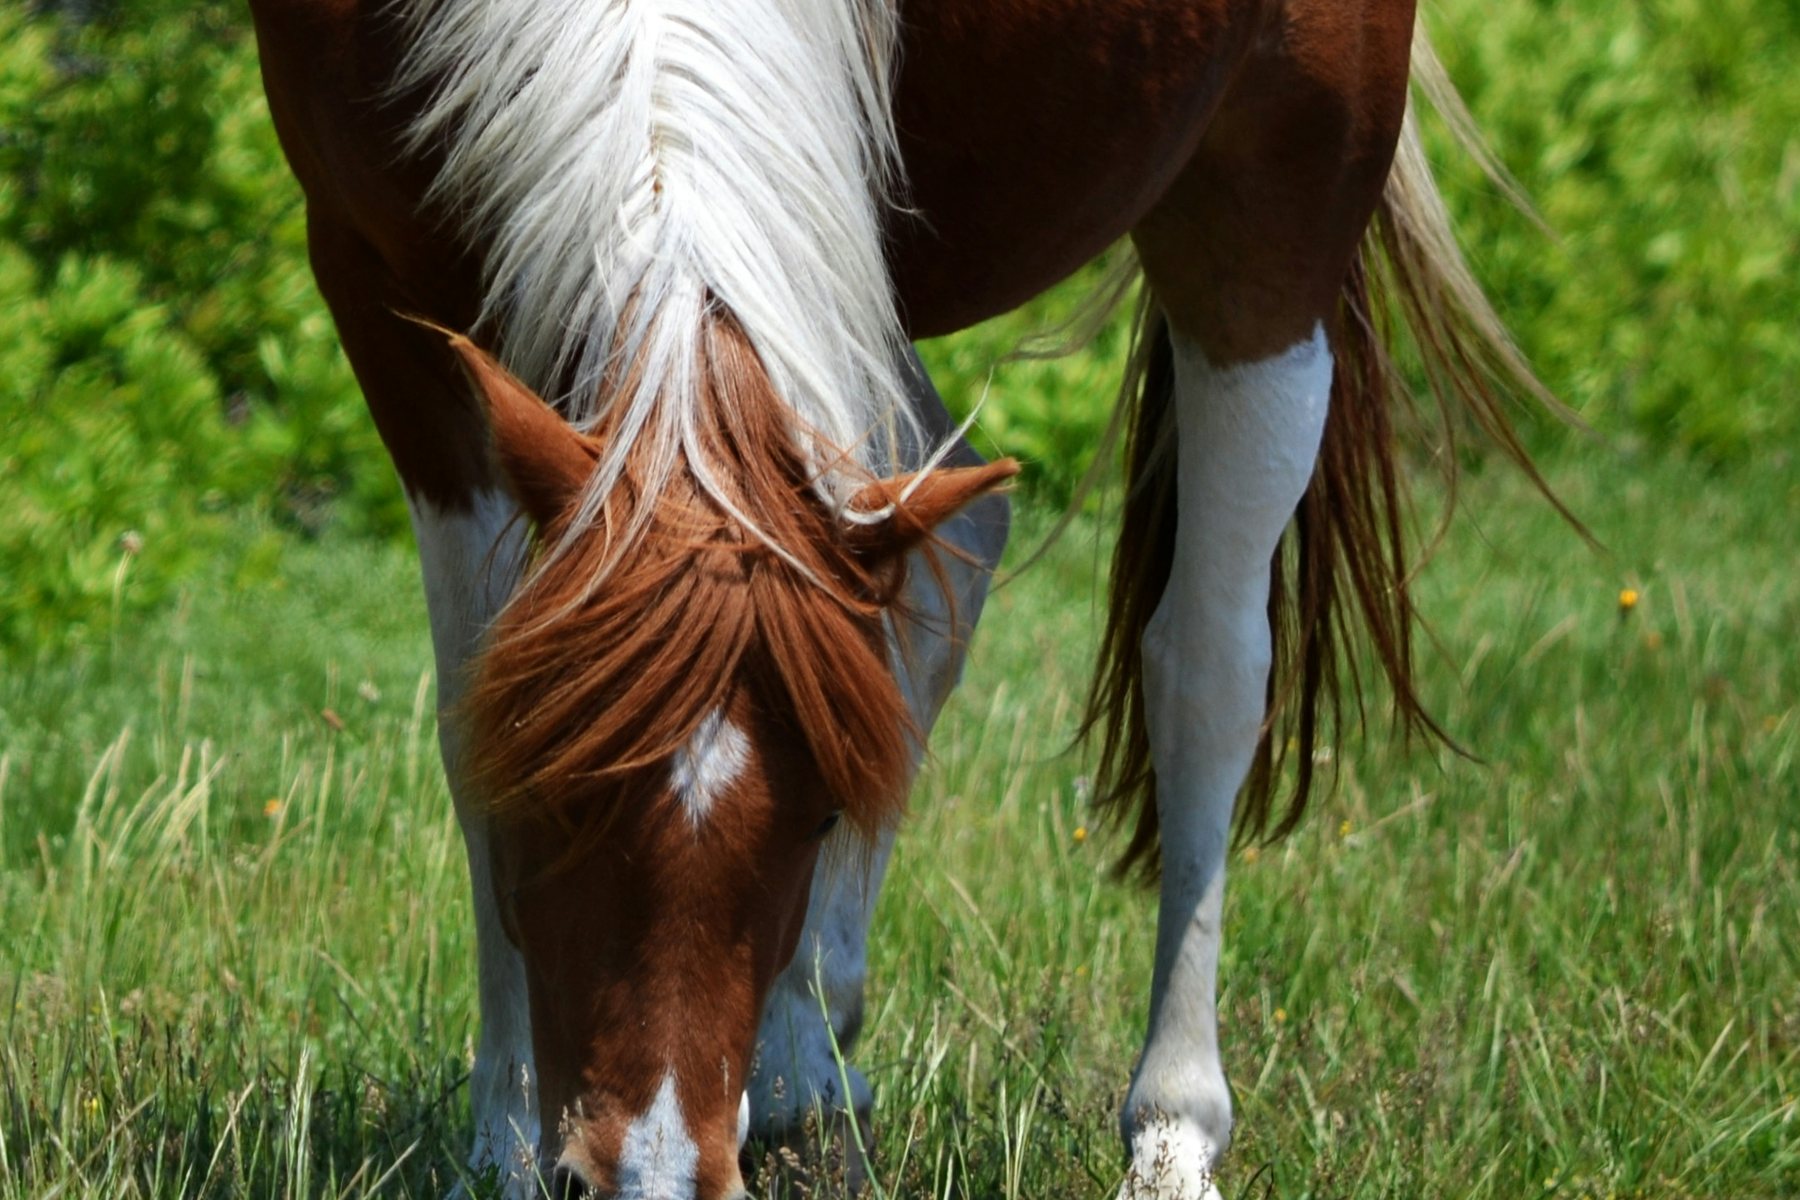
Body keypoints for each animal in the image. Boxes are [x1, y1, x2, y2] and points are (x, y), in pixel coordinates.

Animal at [245, 1, 1554, 1196]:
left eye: (824, 818)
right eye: (551, 796)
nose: (658, 1174)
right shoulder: (372, 282)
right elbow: (477, 707)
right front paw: (507, 1142)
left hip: (1277, 191)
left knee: (1206, 670)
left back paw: (1165, 1130)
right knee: (949, 520)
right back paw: (804, 1064)